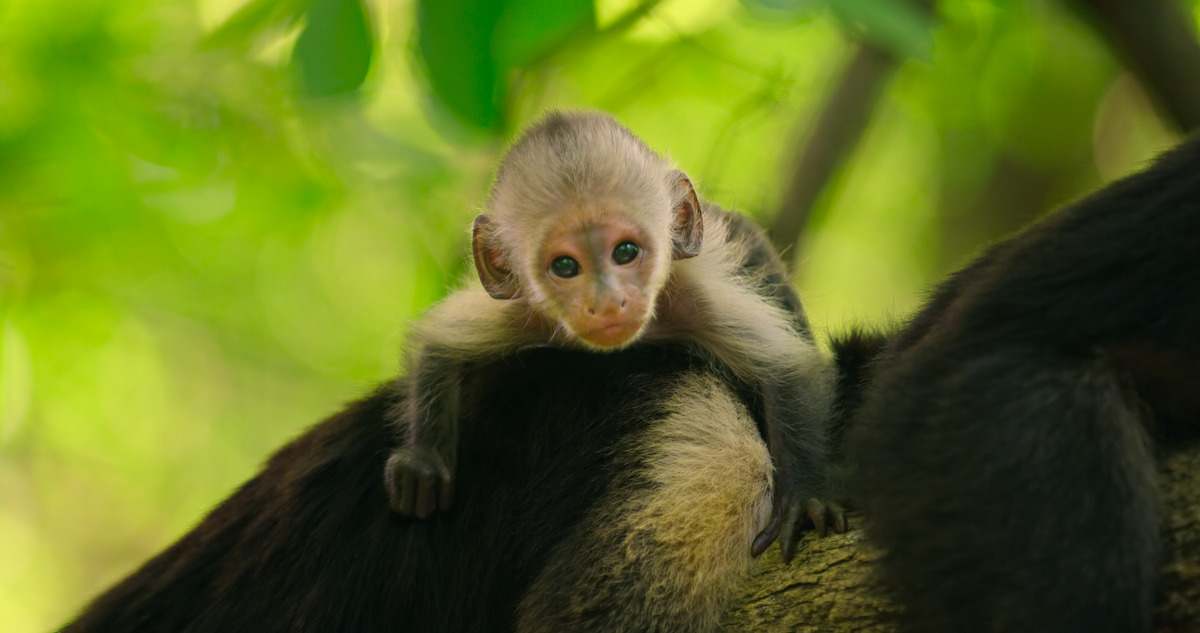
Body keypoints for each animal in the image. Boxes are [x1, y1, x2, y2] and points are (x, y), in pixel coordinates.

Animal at [386, 111, 844, 556]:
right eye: (565, 266)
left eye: (625, 252)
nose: (607, 302)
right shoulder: (520, 312)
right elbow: (440, 342)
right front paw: (422, 460)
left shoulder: (695, 296)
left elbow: (786, 366)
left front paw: (804, 499)